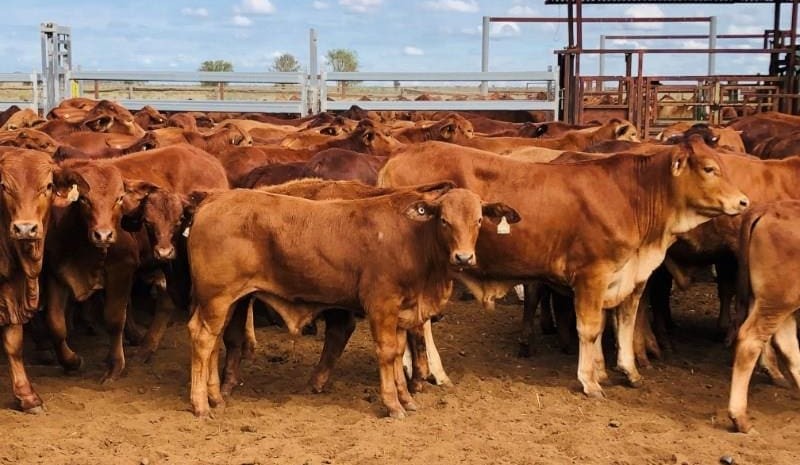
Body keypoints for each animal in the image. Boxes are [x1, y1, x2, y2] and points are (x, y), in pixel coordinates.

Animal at [186, 182, 519, 418]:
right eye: (445, 221)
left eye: (478, 220)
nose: (463, 257)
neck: (415, 239)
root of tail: (213, 199)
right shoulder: (381, 305)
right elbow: (386, 353)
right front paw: (393, 405)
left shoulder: (402, 310)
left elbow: (399, 353)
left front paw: (406, 398)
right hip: (217, 298)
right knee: (203, 339)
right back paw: (200, 404)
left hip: (225, 301)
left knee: (214, 342)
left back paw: (215, 398)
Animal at [378, 134, 749, 397]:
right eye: (709, 168)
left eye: (722, 164)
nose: (744, 202)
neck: (631, 196)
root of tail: (400, 155)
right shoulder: (592, 274)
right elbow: (591, 328)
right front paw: (590, 380)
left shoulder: (626, 276)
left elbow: (623, 323)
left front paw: (624, 371)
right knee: (421, 323)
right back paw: (435, 373)